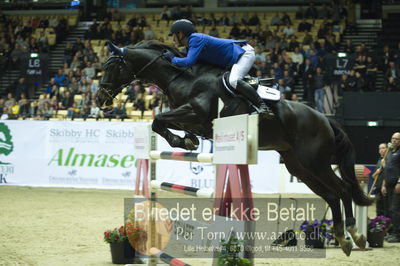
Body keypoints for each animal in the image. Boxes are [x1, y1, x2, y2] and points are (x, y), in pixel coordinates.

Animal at [98, 41, 374, 256]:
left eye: (112, 67)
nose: (101, 100)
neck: (184, 78)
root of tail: (325, 119)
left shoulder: (196, 113)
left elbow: (159, 119)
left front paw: (182, 141)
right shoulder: (190, 118)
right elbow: (164, 123)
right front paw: (187, 141)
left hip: (314, 161)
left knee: (343, 189)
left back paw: (353, 235)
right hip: (299, 166)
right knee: (332, 195)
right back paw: (345, 238)